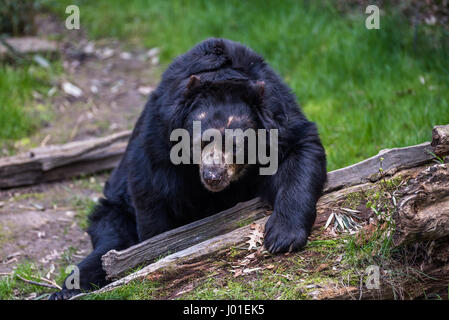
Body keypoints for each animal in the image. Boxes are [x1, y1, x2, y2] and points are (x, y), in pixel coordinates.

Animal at [50, 38, 326, 300]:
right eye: (201, 141)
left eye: (236, 145)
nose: (213, 175)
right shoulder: (159, 134)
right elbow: (153, 193)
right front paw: (154, 253)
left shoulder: (280, 119)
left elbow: (301, 152)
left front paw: (282, 237)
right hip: (115, 208)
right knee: (108, 241)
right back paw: (66, 289)